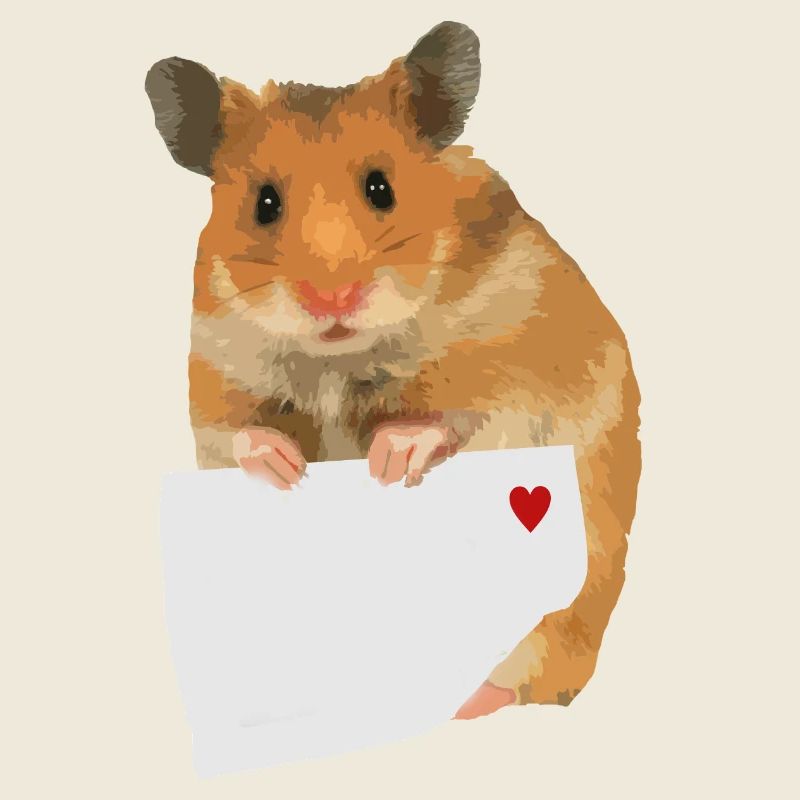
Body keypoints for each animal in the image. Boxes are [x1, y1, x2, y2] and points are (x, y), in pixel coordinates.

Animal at [145, 21, 641, 719]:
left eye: (382, 188)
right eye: (264, 203)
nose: (331, 299)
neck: (340, 357)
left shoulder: (522, 372)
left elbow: (458, 418)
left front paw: (387, 458)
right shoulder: (214, 374)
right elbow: (240, 434)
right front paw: (287, 469)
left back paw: (466, 702)